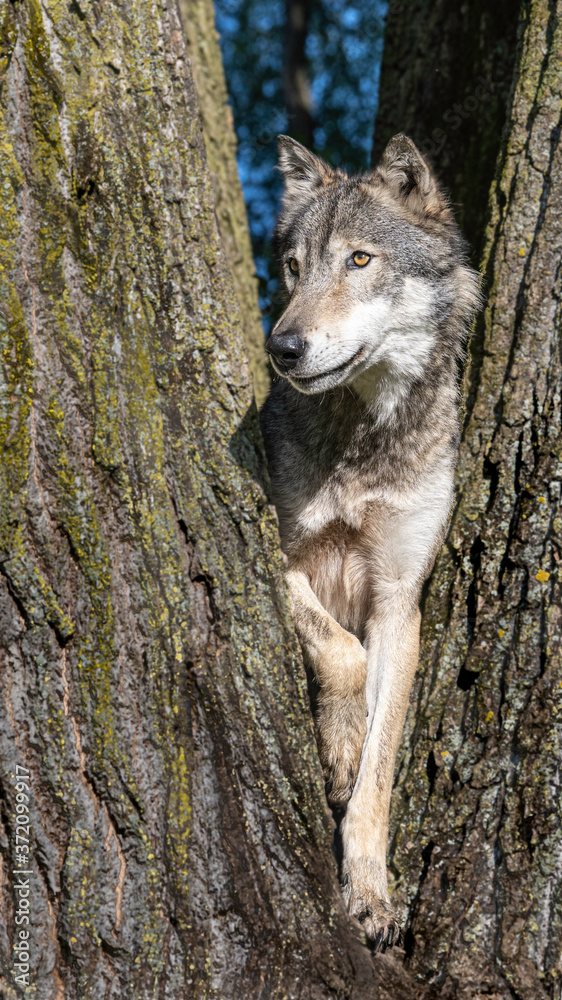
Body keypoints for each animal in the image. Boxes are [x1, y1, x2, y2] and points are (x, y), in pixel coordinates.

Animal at [260, 134, 480, 950]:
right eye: (295, 269)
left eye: (359, 260)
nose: (283, 347)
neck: (365, 440)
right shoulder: (285, 558)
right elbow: (341, 652)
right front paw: (343, 745)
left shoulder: (398, 603)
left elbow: (380, 778)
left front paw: (372, 894)